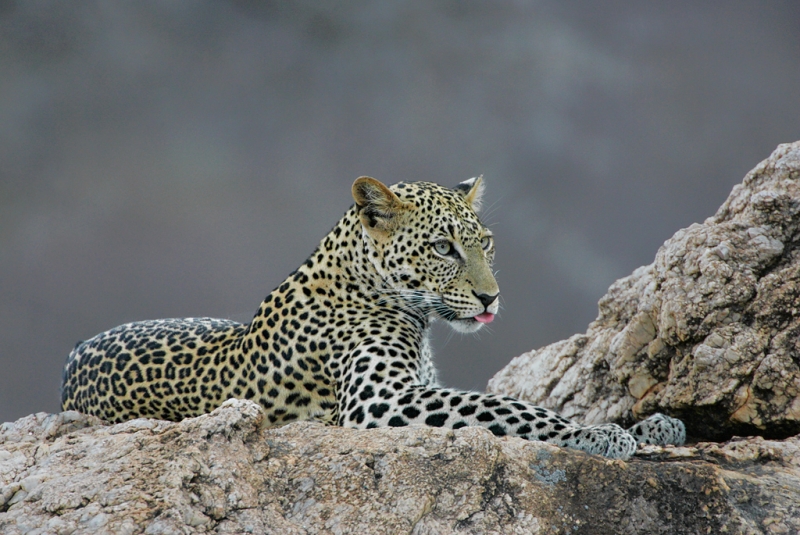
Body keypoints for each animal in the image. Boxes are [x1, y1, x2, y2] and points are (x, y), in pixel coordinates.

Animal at [62, 177, 684, 460]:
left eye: (484, 243)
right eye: (443, 248)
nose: (491, 298)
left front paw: (649, 426)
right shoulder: (381, 399)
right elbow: (503, 407)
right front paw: (595, 434)